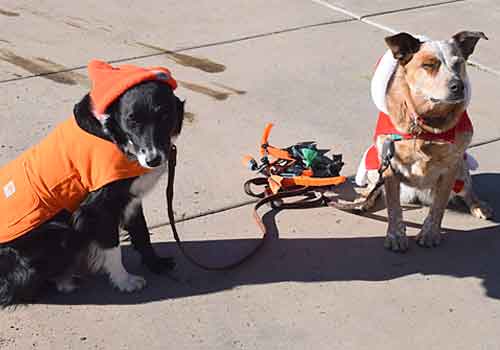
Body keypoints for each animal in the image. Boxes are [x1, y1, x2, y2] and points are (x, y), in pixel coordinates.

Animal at [0, 70, 184, 304]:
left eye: (165, 116)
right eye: (131, 120)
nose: (153, 160)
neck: (113, 136)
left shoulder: (130, 199)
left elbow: (141, 232)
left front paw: (155, 264)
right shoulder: (98, 207)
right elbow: (113, 245)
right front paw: (124, 281)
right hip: (57, 232)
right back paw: (65, 280)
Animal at [358, 31, 494, 252]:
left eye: (459, 63)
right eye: (429, 65)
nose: (459, 86)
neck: (425, 126)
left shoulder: (450, 169)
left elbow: (438, 206)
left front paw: (430, 233)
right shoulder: (389, 164)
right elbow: (394, 208)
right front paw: (396, 236)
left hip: (462, 167)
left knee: (467, 191)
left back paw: (479, 205)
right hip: (374, 163)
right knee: (374, 187)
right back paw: (365, 198)